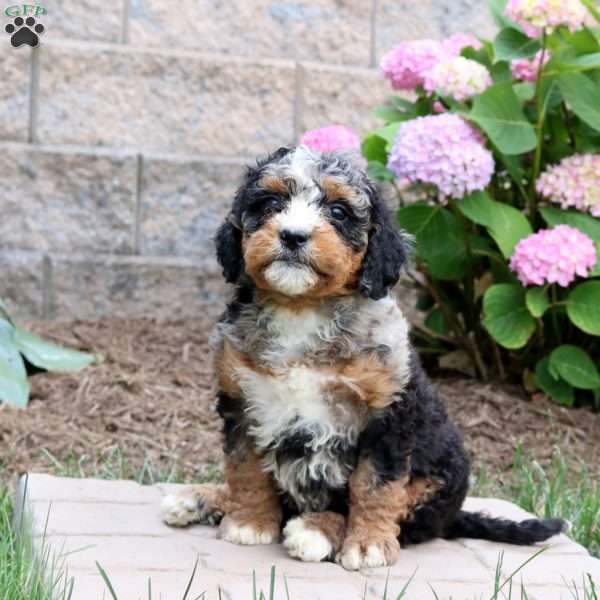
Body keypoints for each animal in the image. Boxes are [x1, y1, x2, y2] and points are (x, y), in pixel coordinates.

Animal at [162, 148, 564, 568]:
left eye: (338, 211)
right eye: (270, 203)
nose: (293, 235)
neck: (300, 309)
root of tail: (453, 516)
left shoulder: (386, 413)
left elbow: (375, 484)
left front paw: (368, 543)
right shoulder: (241, 400)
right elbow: (245, 468)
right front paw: (249, 521)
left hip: (436, 478)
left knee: (403, 518)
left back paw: (317, 529)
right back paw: (201, 497)